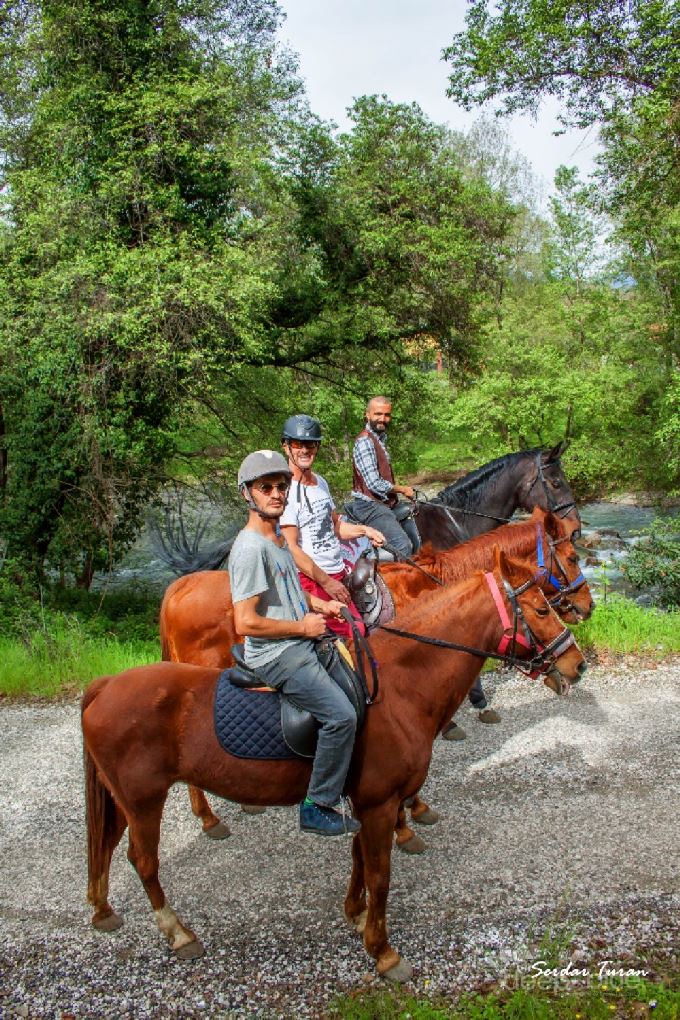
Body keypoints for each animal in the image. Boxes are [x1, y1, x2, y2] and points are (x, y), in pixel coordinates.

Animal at [83, 550, 587, 979]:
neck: (399, 686)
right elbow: (380, 875)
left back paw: (104, 909)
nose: (577, 663)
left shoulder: (365, 802)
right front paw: (383, 951)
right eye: (542, 610)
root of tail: (103, 686)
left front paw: (356, 915)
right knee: (143, 861)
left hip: (123, 799)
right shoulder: (380, 803)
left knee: (108, 847)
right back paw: (179, 932)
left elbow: (359, 861)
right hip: (143, 799)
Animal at [158, 505, 591, 840]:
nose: (587, 606)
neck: (427, 589)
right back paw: (210, 819)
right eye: (571, 557)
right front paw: (413, 812)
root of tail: (177, 590)